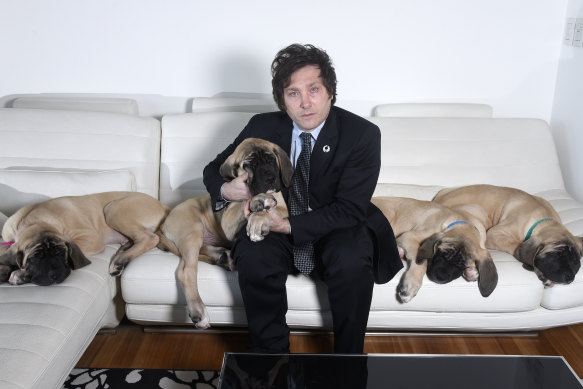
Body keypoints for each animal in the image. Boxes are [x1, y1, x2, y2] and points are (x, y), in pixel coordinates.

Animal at [0, 191, 169, 284]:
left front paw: (19, 273)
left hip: (113, 209)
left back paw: (119, 261)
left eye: (62, 253)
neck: (33, 220)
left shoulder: (90, 239)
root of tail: (163, 205)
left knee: (150, 238)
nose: (55, 274)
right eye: (34, 258)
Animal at [156, 136, 294, 328]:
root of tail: (165, 220)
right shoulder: (228, 220)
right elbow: (249, 203)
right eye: (250, 164)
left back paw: (222, 256)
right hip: (193, 230)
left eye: (271, 159)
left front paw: (258, 216)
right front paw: (259, 201)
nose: (270, 178)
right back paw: (198, 312)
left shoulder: (283, 210)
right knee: (186, 271)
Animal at [436, 183, 583, 286]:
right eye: (556, 255)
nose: (570, 277)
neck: (545, 219)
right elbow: (515, 245)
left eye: (576, 262)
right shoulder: (495, 234)